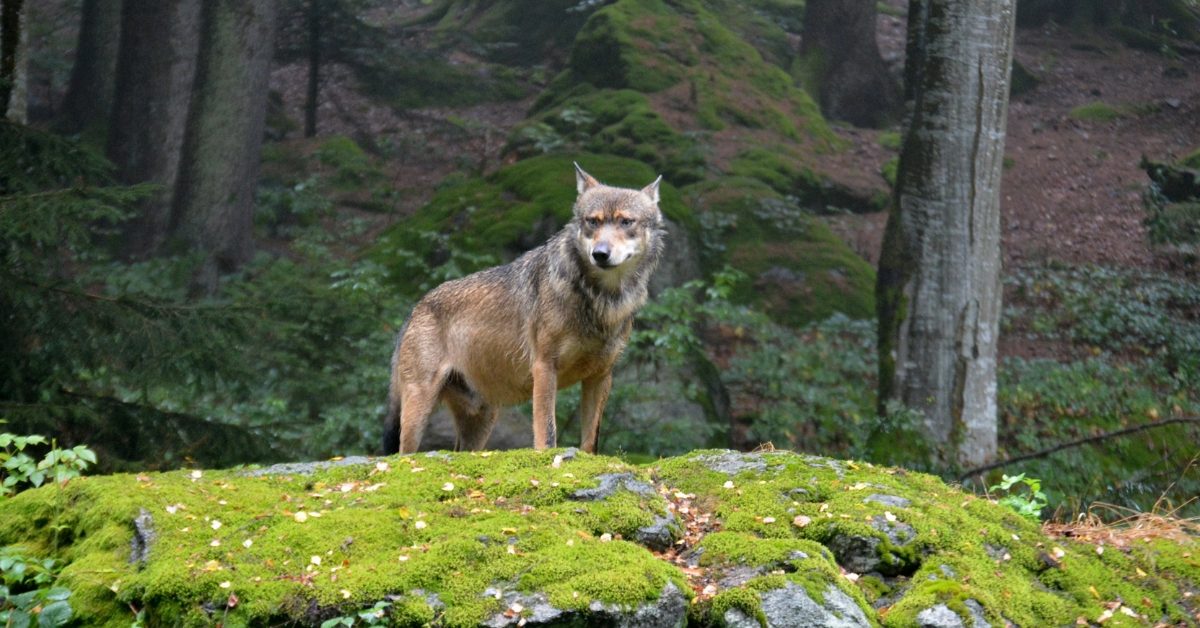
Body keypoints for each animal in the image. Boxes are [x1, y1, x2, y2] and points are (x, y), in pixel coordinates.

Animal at [381, 164, 667, 453]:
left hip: (481, 421)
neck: (600, 298)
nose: (600, 253)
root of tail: (416, 308)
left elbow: (590, 441)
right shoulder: (544, 367)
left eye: (626, 222)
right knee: (403, 454)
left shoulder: (600, 376)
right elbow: (547, 432)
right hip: (418, 411)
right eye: (593, 221)